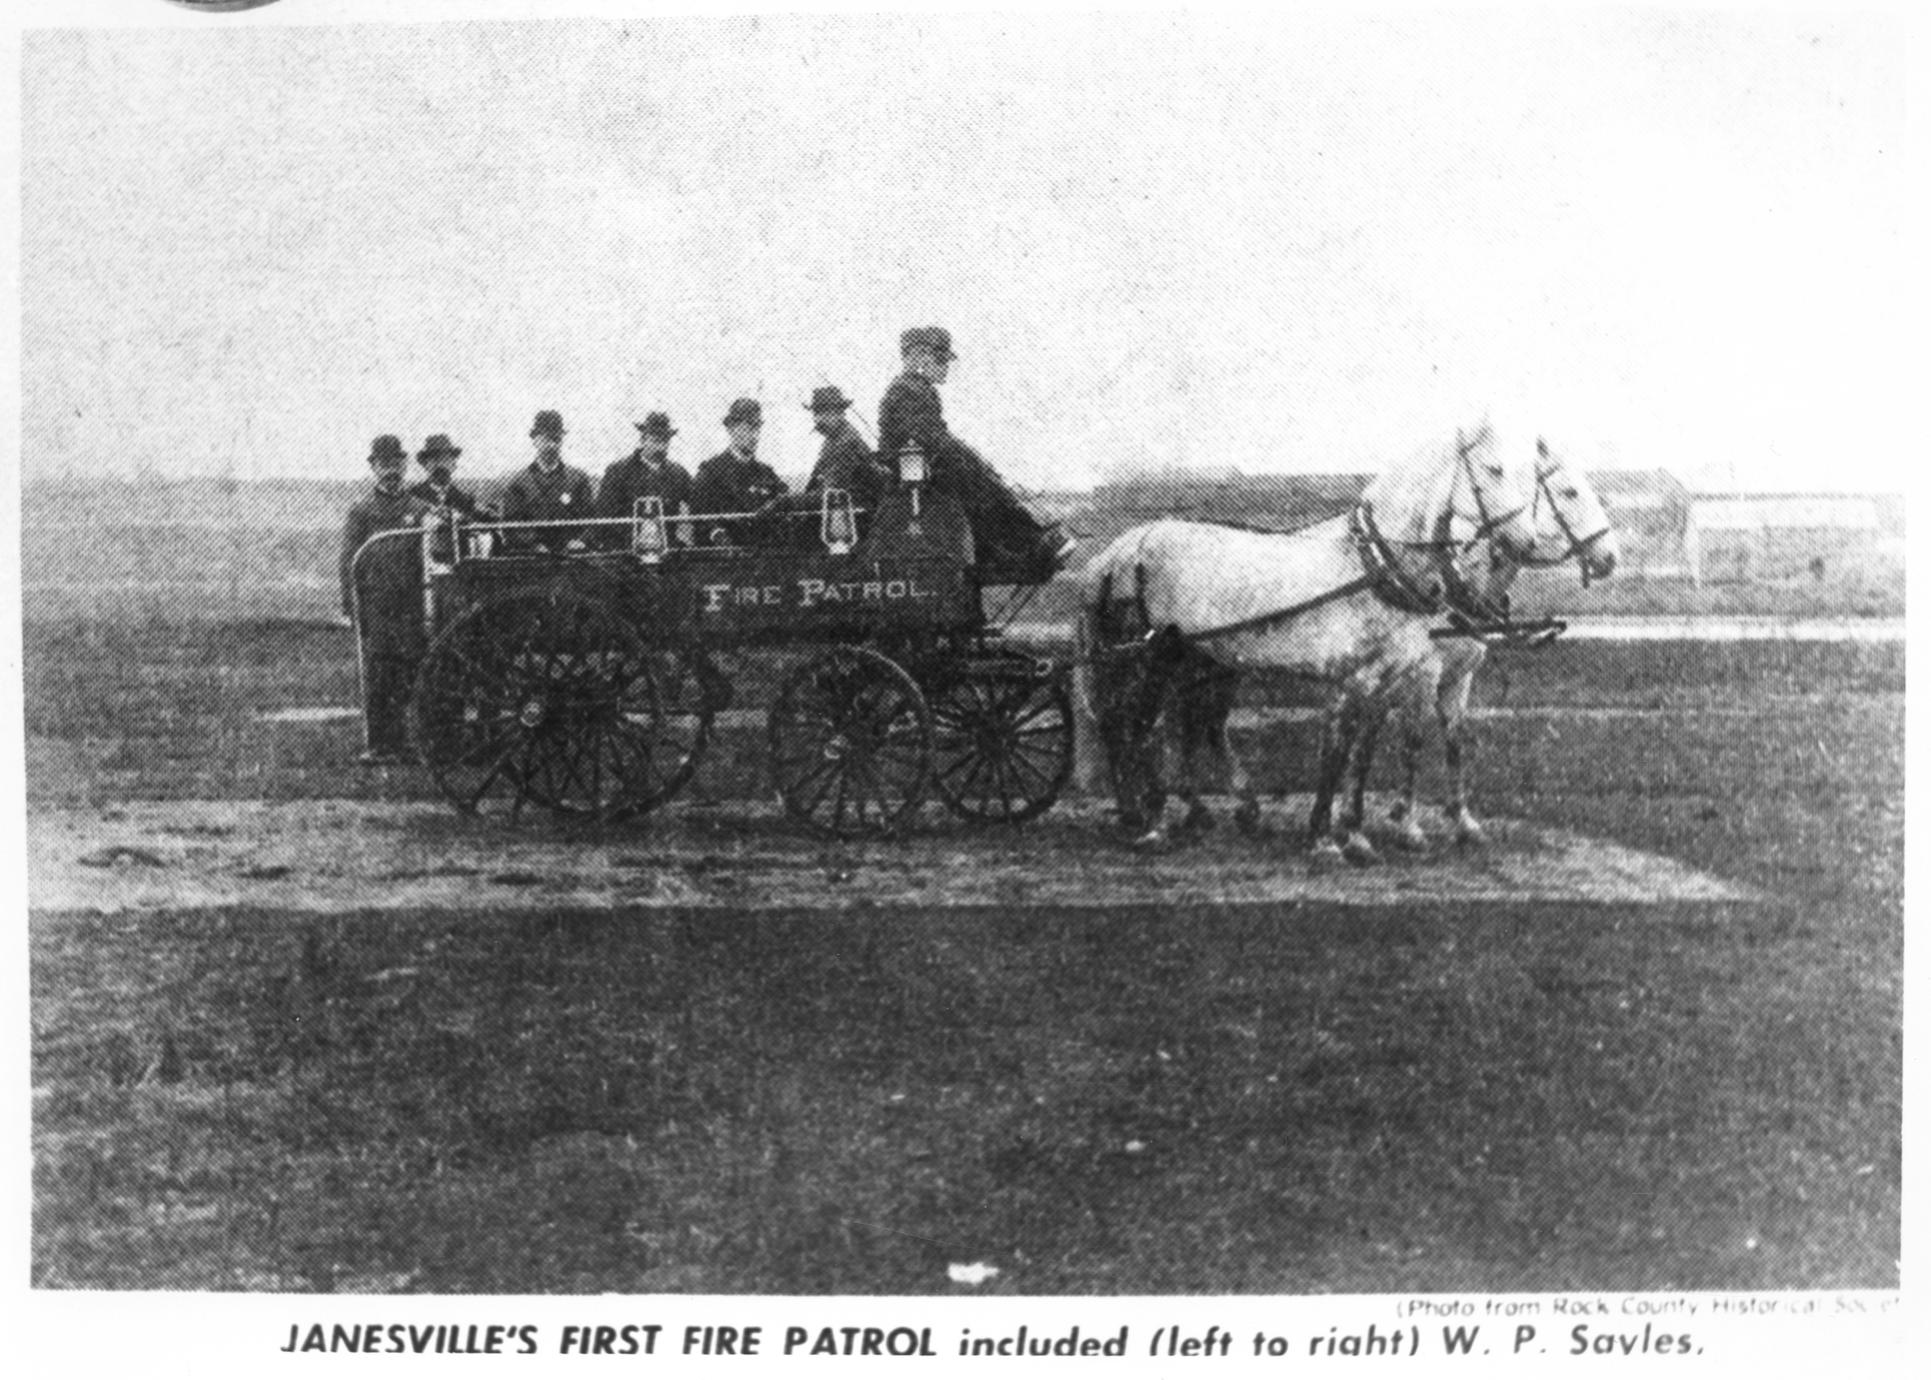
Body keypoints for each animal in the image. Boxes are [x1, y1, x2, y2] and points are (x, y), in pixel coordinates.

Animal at [1074, 417, 1544, 861]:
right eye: (1494, 469)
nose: (1529, 542)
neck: (1370, 566)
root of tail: (1117, 551)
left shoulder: (1385, 681)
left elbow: (1362, 755)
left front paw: (1355, 835)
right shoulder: (1354, 680)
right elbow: (1336, 755)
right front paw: (1324, 838)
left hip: (1194, 661)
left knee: (1176, 724)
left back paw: (1160, 812)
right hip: (1146, 659)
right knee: (1137, 726)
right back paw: (1152, 822)